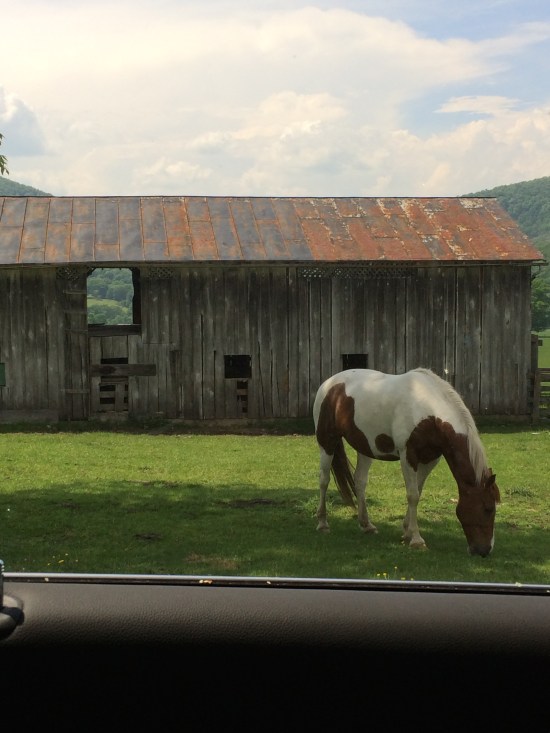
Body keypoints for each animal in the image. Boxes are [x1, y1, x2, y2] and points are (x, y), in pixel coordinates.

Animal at [312, 367, 500, 556]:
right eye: (488, 509)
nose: (485, 550)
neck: (430, 413)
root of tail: (329, 384)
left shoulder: (430, 460)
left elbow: (418, 491)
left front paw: (407, 532)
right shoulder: (408, 456)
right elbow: (412, 495)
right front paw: (416, 539)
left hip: (365, 447)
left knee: (359, 481)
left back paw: (367, 525)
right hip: (326, 442)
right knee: (324, 480)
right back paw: (322, 524)